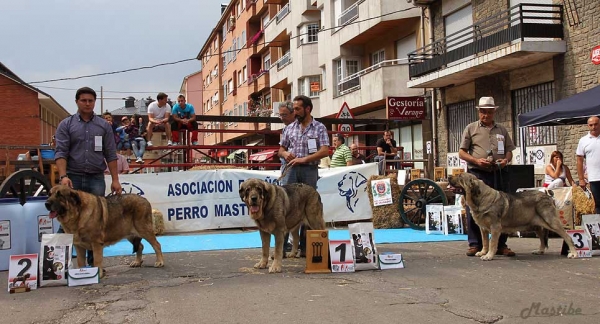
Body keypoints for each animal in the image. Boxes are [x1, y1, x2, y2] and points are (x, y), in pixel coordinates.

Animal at [448, 172, 580, 260]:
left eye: (459, 176)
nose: (449, 176)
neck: (479, 198)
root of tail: (548, 196)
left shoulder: (495, 227)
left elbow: (492, 243)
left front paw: (488, 256)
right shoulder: (483, 228)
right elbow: (485, 241)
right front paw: (482, 252)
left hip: (551, 221)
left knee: (567, 236)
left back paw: (573, 253)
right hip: (536, 226)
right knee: (543, 239)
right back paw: (540, 251)